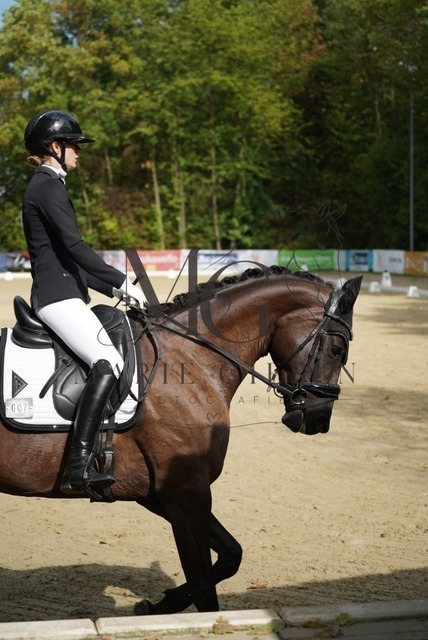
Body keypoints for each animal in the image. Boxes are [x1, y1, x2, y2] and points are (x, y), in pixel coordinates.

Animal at [0, 265, 362, 615]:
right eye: (337, 349)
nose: (319, 420)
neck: (188, 359)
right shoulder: (186, 491)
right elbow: (203, 586)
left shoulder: (159, 492)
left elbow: (231, 554)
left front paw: (159, 604)